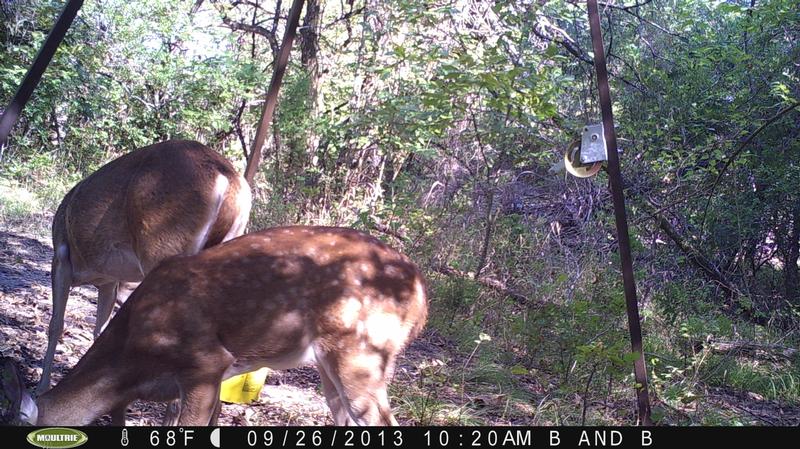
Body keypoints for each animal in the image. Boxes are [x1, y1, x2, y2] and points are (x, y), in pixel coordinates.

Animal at [39, 140, 252, 398]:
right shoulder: (109, 279)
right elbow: (99, 332)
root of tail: (226, 176)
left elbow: (55, 325)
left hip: (163, 244)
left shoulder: (61, 256)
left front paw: (40, 388)